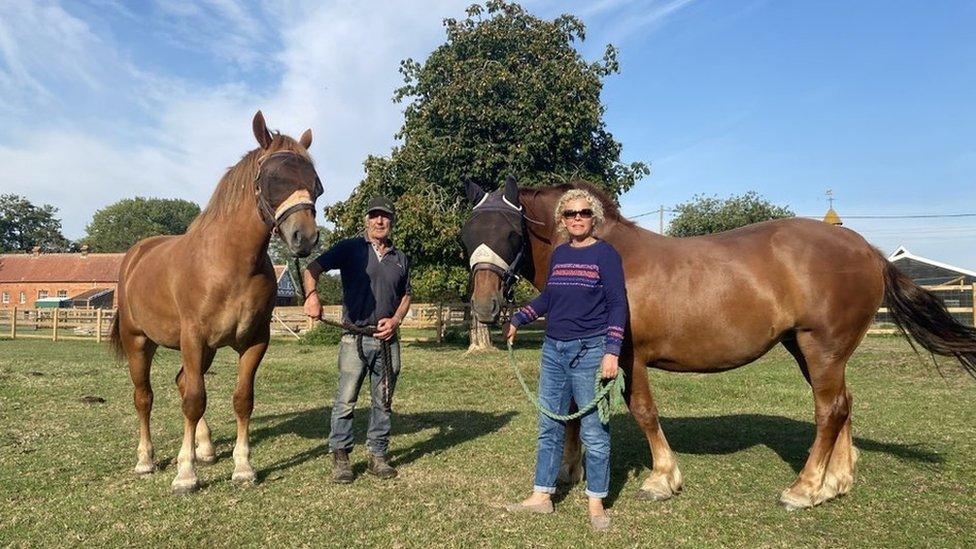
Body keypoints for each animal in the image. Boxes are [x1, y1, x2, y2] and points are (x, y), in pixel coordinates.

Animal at [110, 110, 324, 492]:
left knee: (182, 382)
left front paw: (242, 467)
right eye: (272, 178)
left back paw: (206, 448)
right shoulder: (193, 338)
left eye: (315, 183)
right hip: (139, 341)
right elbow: (194, 401)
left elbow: (242, 400)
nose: (305, 237)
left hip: (205, 350)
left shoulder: (254, 341)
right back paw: (146, 460)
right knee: (144, 397)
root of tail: (135, 255)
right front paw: (185, 474)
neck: (229, 262)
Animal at [464, 179, 976, 510]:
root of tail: (866, 249)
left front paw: (662, 479)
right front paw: (571, 471)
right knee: (844, 404)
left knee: (829, 410)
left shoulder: (629, 356)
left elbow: (644, 412)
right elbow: (572, 407)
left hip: (822, 348)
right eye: (469, 234)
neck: (598, 252)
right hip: (809, 350)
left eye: (510, 232)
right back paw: (836, 481)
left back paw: (805, 489)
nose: (485, 306)